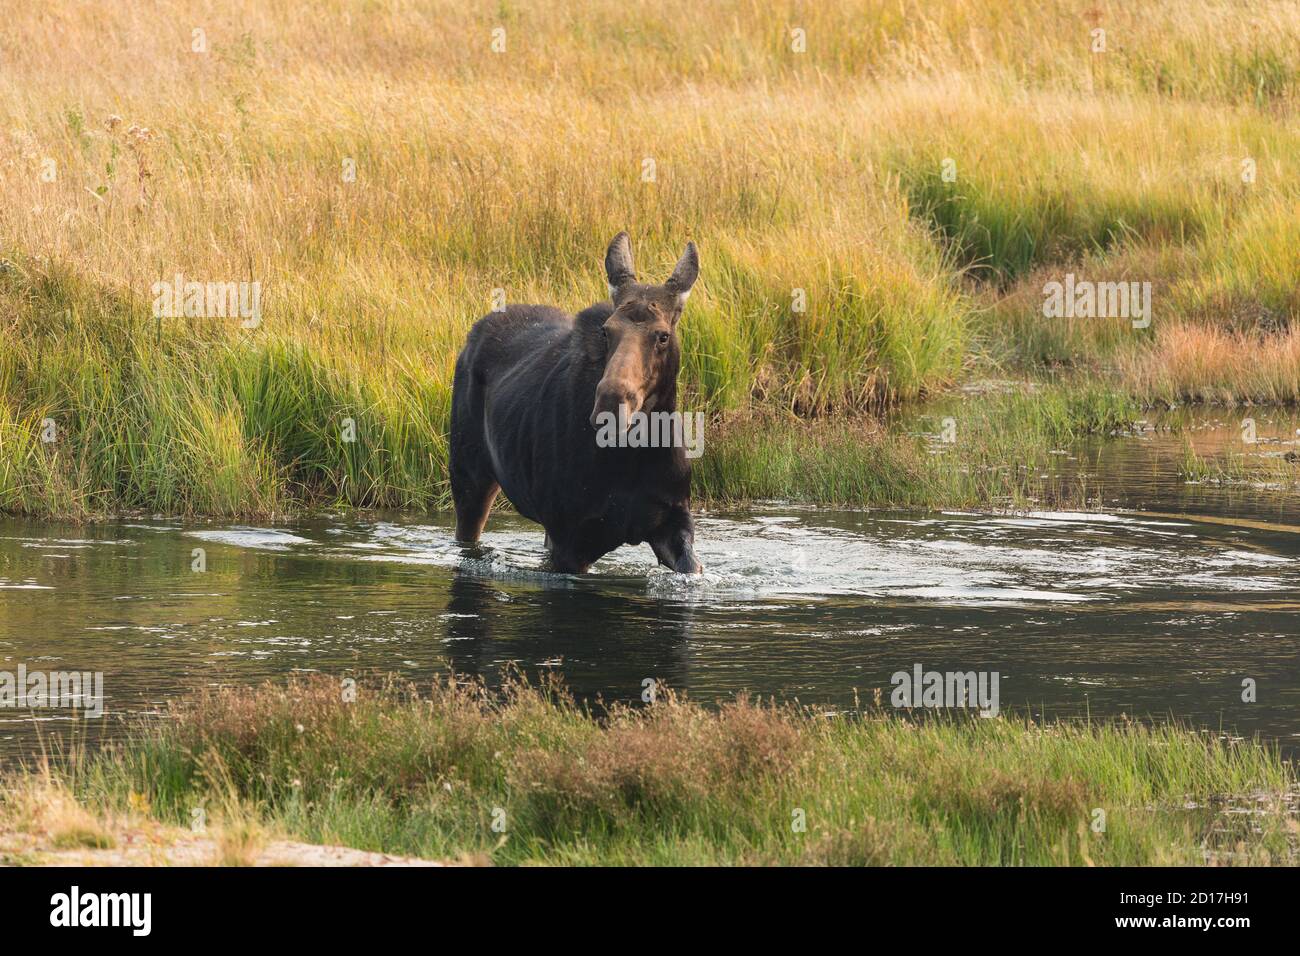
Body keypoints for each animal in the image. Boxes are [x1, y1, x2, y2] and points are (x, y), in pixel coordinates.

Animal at [449, 231, 712, 574]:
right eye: (607, 330)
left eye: (663, 335)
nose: (611, 405)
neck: (633, 455)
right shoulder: (571, 538)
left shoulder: (673, 521)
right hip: (469, 477)